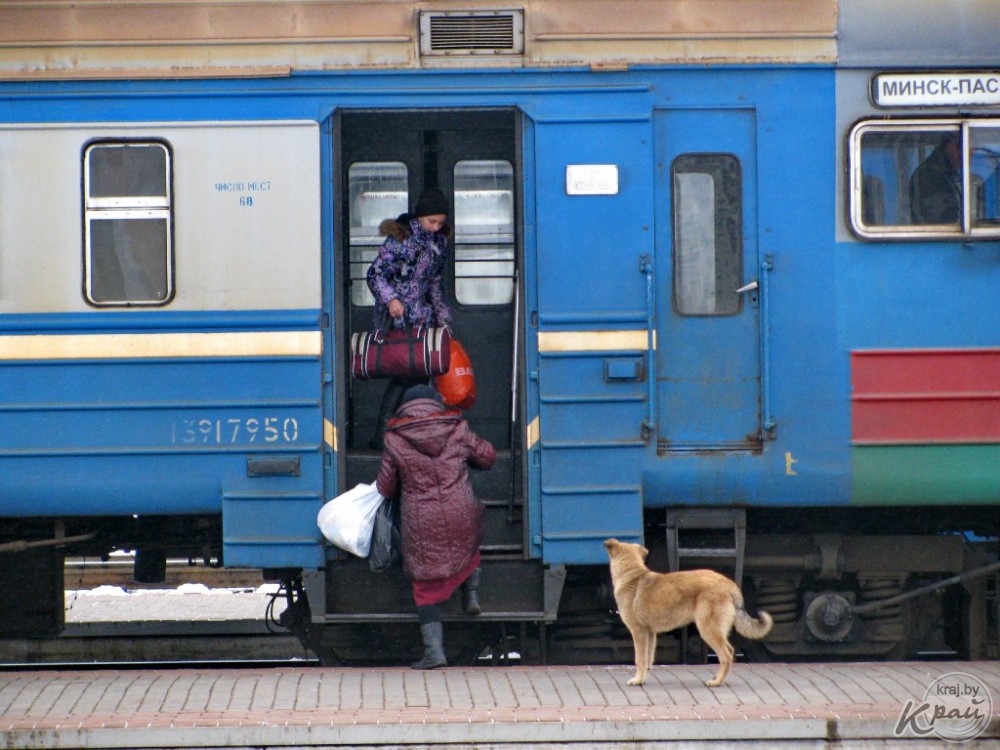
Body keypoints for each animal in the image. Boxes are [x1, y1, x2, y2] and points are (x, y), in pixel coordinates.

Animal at [600, 536, 772, 692]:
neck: (631, 574)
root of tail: (729, 585)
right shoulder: (650, 634)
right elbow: (648, 660)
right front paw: (642, 679)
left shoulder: (638, 632)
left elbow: (639, 659)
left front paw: (637, 680)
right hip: (715, 630)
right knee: (729, 652)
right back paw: (718, 678)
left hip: (707, 629)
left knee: (726, 656)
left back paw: (716, 683)